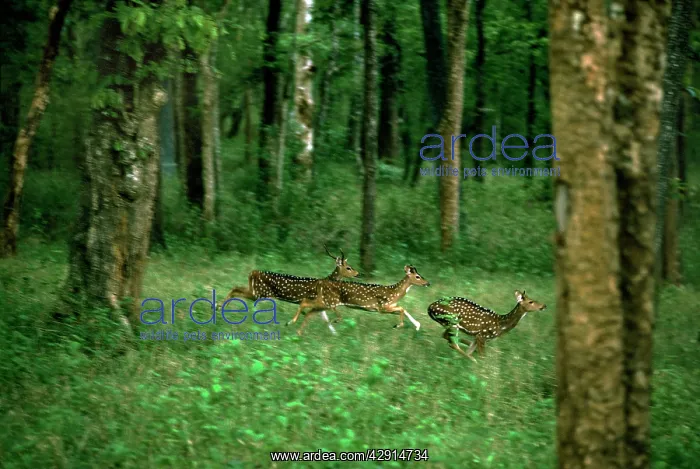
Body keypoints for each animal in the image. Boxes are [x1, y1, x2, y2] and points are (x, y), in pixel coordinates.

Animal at [218, 245, 360, 332]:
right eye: (348, 267)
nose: (357, 273)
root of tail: (252, 272)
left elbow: (323, 318)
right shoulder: (319, 299)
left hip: (255, 291)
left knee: (235, 288)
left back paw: (218, 306)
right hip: (260, 293)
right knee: (236, 290)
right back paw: (218, 306)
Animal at [287, 265, 430, 336]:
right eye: (418, 276)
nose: (428, 283)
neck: (394, 293)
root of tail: (322, 282)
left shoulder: (388, 306)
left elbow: (403, 309)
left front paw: (417, 325)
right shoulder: (381, 307)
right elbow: (402, 309)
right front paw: (398, 325)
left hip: (326, 302)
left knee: (309, 312)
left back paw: (298, 332)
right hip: (328, 301)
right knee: (304, 302)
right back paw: (290, 322)